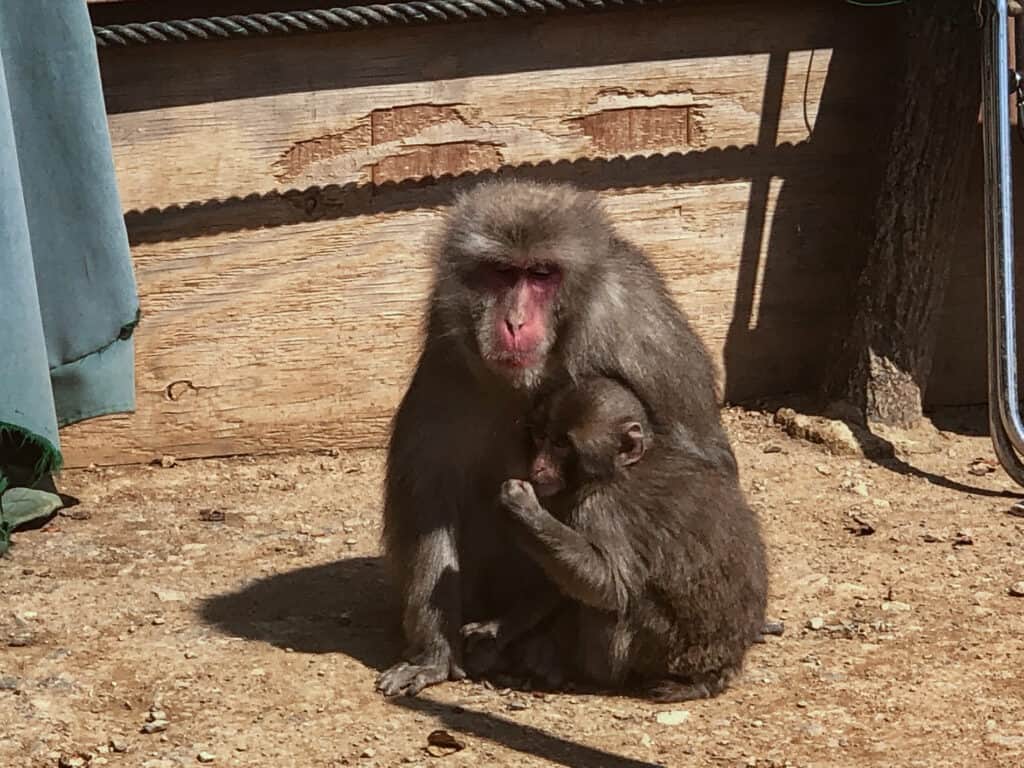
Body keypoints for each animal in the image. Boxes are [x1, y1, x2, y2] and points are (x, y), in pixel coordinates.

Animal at [376, 180, 737, 696]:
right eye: (502, 273)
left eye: (542, 274)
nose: (514, 323)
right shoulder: (450, 345)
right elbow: (429, 491)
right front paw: (433, 655)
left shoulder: (641, 326)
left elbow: (702, 470)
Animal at [464, 376, 770, 700]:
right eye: (541, 437)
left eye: (561, 444)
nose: (538, 466)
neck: (619, 467)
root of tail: (722, 668)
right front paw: (500, 626)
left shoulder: (600, 508)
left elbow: (610, 585)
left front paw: (522, 510)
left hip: (662, 647)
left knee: (620, 605)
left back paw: (588, 675)